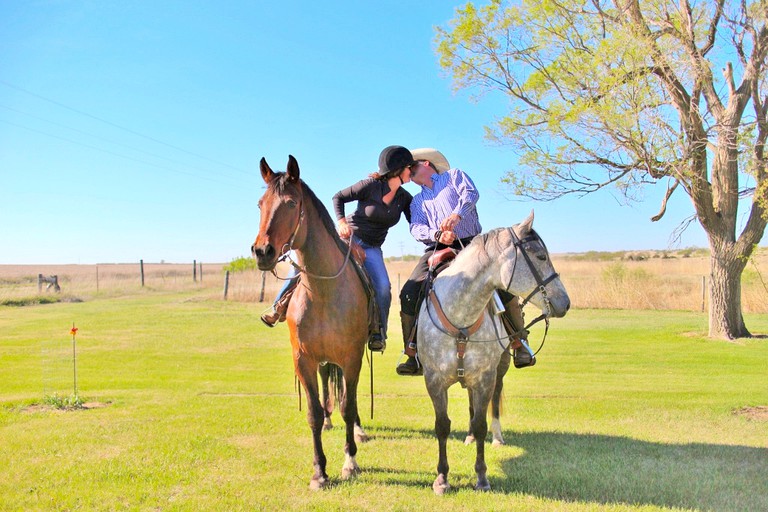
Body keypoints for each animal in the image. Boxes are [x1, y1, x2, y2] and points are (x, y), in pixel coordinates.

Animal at [252, 155, 368, 488]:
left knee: (348, 399)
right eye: (260, 204)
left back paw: (358, 430)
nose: (262, 251)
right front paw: (319, 472)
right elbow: (314, 413)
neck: (323, 291)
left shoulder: (351, 358)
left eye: (291, 204)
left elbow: (348, 405)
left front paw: (349, 462)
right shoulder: (303, 359)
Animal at [414, 211, 568, 492]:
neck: (461, 315)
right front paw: (441, 478)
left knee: (493, 402)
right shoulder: (434, 380)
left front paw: (482, 477)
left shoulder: (485, 377)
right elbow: (442, 426)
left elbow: (482, 423)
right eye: (541, 256)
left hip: (500, 368)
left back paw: (497, 437)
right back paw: (468, 437)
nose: (565, 302)